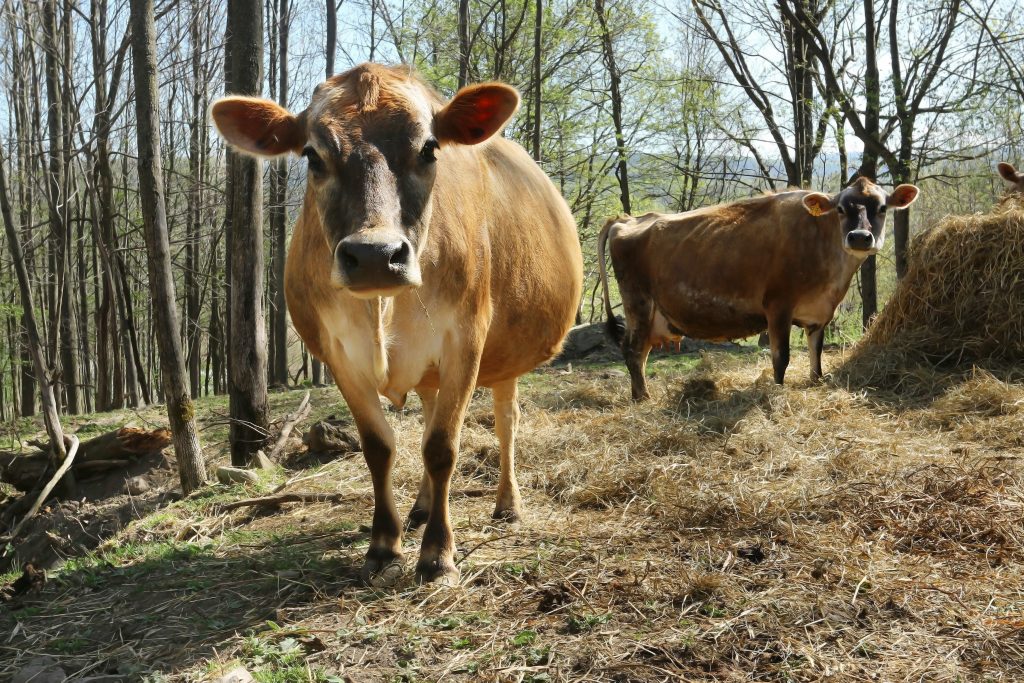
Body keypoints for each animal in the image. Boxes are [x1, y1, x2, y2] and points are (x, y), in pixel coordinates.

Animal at [211, 63, 581, 585]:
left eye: (429, 149)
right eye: (312, 155)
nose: (373, 255)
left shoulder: (465, 338)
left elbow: (443, 447)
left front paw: (437, 553)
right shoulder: (339, 353)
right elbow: (379, 447)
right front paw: (384, 545)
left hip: (504, 355)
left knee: (505, 422)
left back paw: (507, 504)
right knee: (429, 412)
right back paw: (422, 508)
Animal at [598, 178, 921, 401]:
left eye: (882, 208)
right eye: (840, 209)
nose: (859, 237)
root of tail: (628, 219)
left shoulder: (819, 314)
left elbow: (816, 355)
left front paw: (816, 382)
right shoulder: (778, 306)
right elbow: (781, 357)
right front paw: (776, 391)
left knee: (640, 351)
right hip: (638, 302)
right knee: (633, 351)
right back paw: (643, 398)